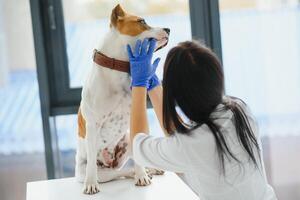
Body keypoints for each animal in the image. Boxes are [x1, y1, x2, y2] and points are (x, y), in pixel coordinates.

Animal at [75, 3, 170, 195]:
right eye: (142, 21)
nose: (168, 29)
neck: (117, 68)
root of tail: (110, 163)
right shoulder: (92, 124)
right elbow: (92, 166)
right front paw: (91, 184)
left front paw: (142, 176)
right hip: (98, 172)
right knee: (118, 172)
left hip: (126, 139)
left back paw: (149, 170)